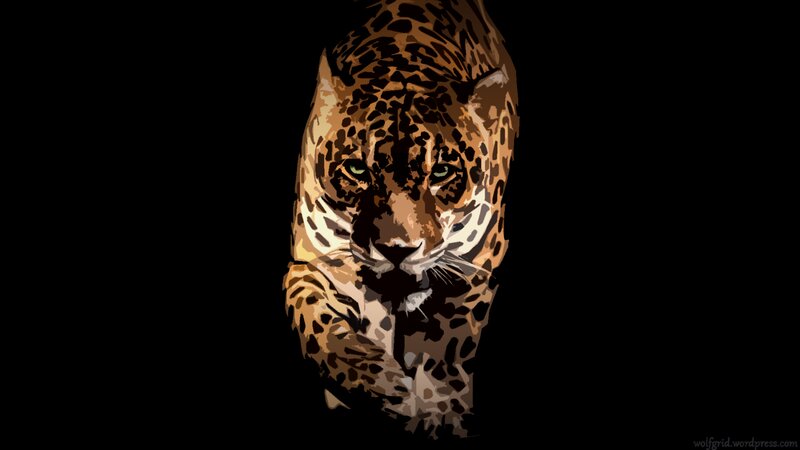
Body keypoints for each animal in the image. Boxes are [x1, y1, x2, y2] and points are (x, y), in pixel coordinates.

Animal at [283, 0, 518, 439]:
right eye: (357, 169)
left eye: (441, 172)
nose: (396, 251)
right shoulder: (312, 262)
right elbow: (314, 320)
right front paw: (379, 384)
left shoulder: (474, 270)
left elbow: (446, 349)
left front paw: (439, 410)